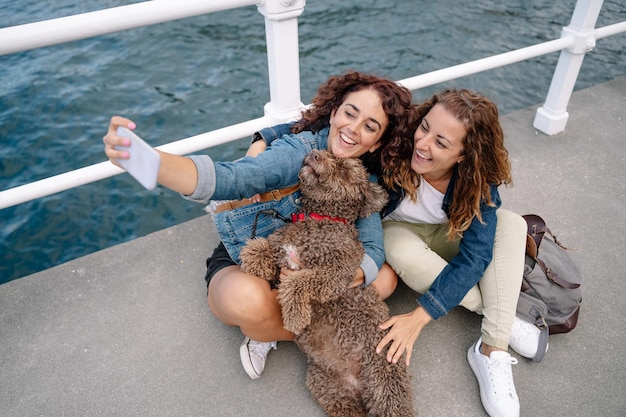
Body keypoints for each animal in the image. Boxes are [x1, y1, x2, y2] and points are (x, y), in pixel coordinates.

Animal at [240, 150, 414, 416]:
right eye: (330, 154)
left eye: (343, 169)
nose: (314, 154)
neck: (321, 218)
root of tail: (359, 385)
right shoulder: (282, 251)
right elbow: (258, 249)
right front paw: (253, 262)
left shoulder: (337, 273)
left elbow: (299, 282)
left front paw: (295, 316)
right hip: (329, 388)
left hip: (385, 380)